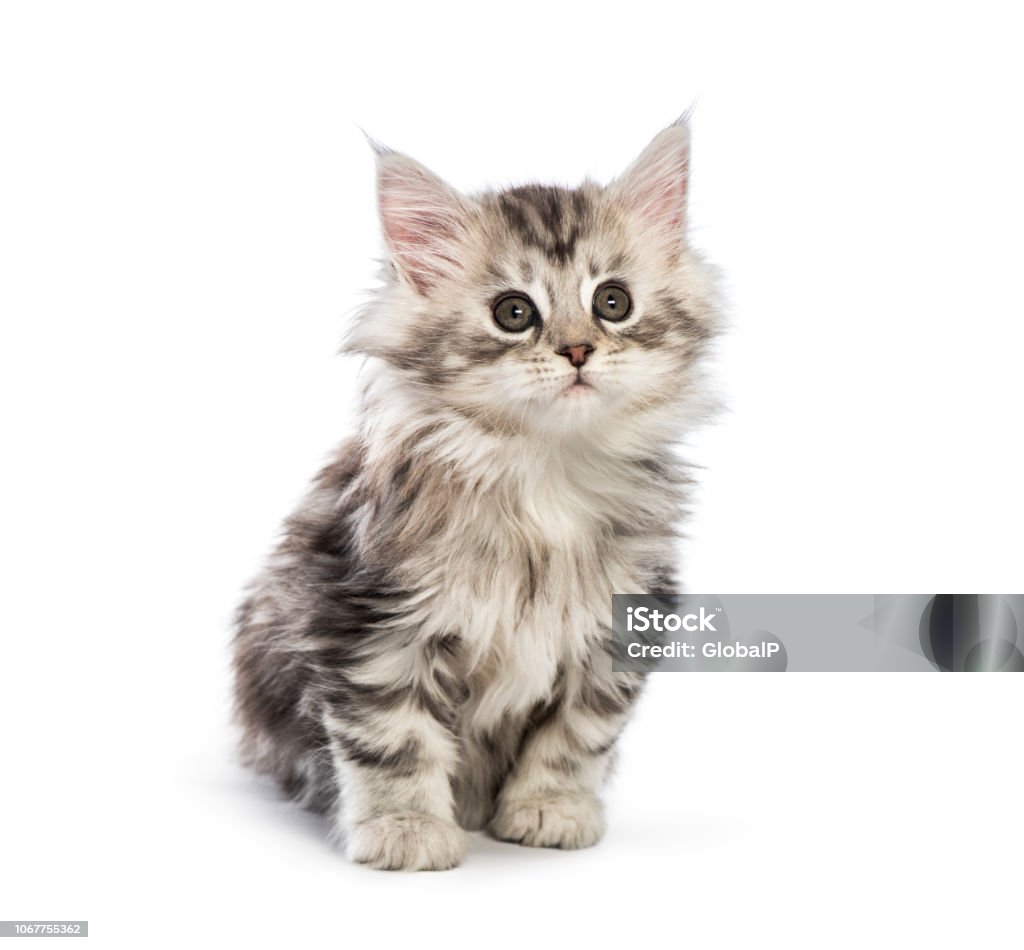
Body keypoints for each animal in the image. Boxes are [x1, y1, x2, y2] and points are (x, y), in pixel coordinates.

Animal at [232, 116, 720, 868]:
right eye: (513, 313)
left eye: (612, 302)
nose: (578, 350)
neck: (543, 477)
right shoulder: (369, 620)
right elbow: (394, 738)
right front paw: (406, 829)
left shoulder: (616, 627)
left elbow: (577, 736)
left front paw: (551, 809)